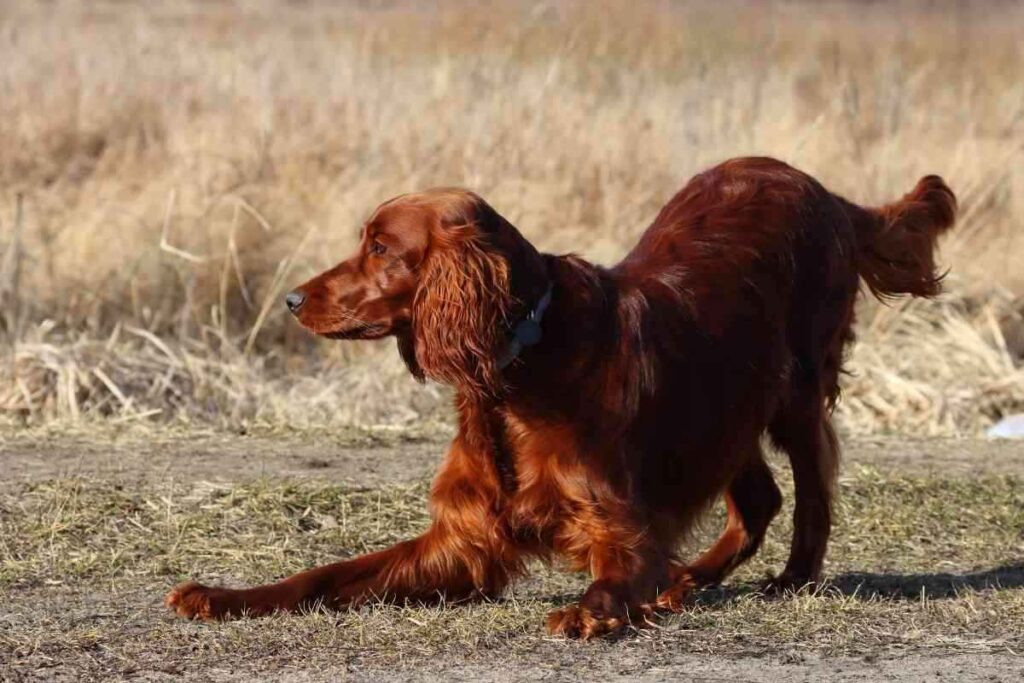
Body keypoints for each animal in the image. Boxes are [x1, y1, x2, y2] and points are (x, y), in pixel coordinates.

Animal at [163, 157, 954, 638]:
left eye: (382, 248)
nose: (294, 299)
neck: (516, 372)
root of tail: (826, 191)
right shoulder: (462, 543)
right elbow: (325, 573)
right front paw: (222, 596)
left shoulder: (618, 526)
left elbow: (617, 573)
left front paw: (590, 610)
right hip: (725, 404)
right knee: (758, 498)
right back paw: (690, 578)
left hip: (794, 386)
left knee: (813, 483)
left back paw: (789, 579)